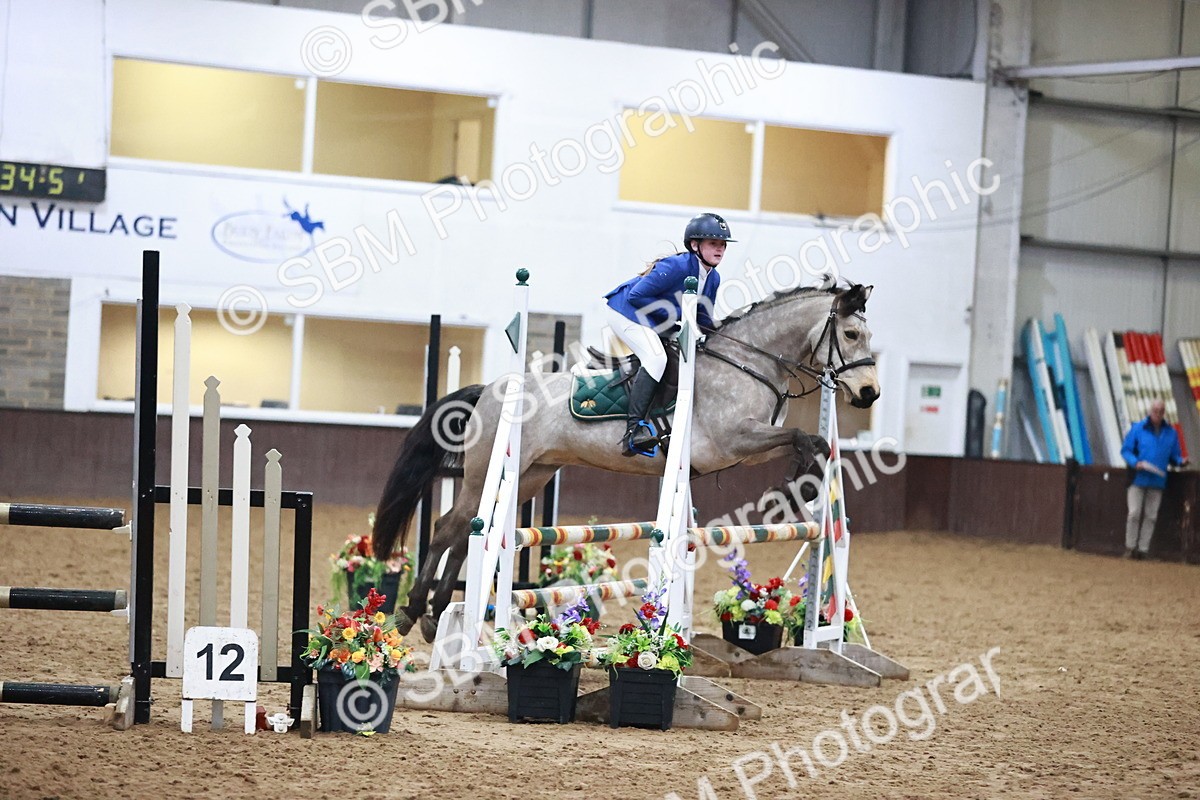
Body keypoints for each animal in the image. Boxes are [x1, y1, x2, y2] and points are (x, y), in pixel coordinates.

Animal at [373, 282, 879, 641]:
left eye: (868, 335)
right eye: (851, 334)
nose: (869, 393)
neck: (746, 363)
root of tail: (492, 389)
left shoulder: (752, 446)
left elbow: (814, 443)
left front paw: (806, 487)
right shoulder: (732, 440)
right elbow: (802, 438)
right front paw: (804, 487)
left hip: (532, 476)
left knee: (467, 534)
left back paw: (437, 613)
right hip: (484, 473)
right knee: (451, 529)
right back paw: (414, 612)